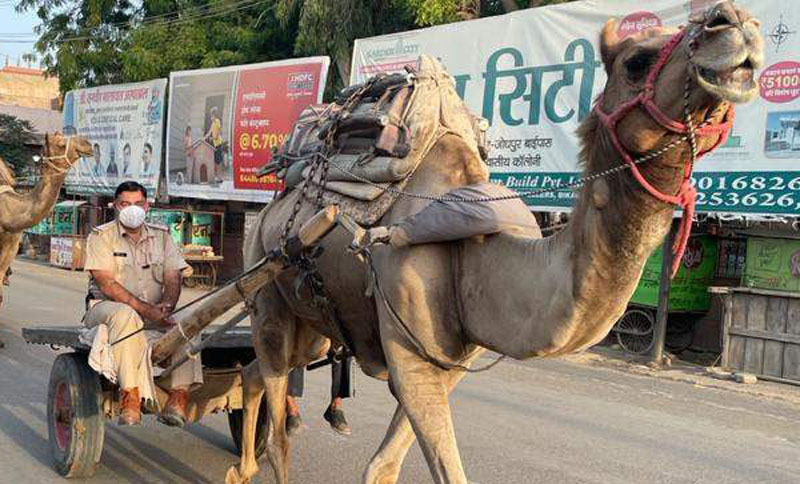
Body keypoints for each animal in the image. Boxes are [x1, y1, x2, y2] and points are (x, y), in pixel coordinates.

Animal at [230, 1, 764, 482]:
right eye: (637, 61)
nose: (735, 21)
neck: (477, 252)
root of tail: (270, 208)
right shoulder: (408, 347)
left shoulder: (451, 358)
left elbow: (386, 464)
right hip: (266, 287)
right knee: (275, 413)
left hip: (316, 322)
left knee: (255, 373)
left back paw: (242, 466)